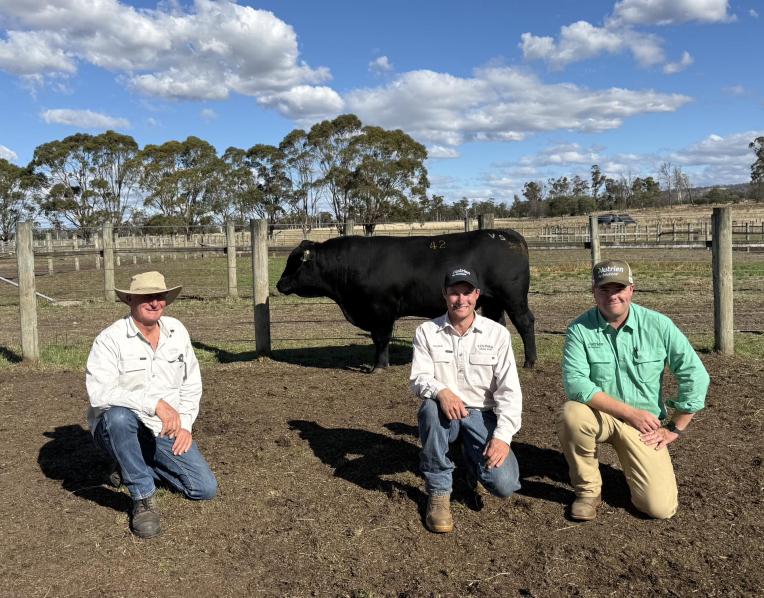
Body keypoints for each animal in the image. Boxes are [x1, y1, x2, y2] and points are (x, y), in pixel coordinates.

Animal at [276, 229, 536, 371]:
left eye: (295, 262)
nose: (279, 284)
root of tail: (509, 235)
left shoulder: (381, 310)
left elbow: (381, 338)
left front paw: (379, 366)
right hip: (493, 302)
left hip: (513, 298)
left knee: (525, 322)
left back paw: (530, 362)